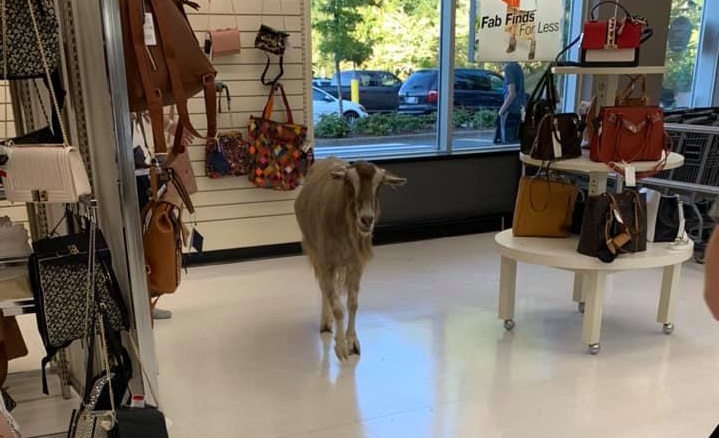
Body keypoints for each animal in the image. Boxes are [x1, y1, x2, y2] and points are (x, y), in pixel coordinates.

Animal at [292, 157, 404, 360]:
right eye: (350, 182)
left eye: (379, 184)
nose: (367, 219)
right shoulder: (326, 262)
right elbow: (338, 307)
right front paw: (341, 347)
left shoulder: (356, 264)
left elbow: (353, 303)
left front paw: (352, 342)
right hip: (313, 249)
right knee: (323, 288)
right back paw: (325, 323)